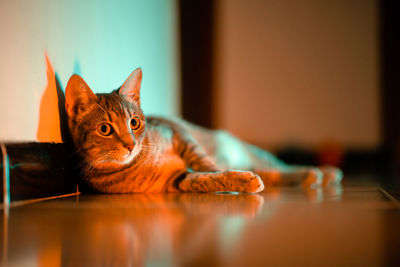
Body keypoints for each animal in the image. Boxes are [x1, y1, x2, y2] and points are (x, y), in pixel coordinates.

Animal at [64, 68, 342, 194]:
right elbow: (204, 180)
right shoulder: (178, 181)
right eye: (105, 129)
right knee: (273, 173)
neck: (141, 161)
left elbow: (206, 164)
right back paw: (310, 176)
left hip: (252, 153)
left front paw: (223, 172)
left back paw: (323, 172)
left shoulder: (180, 135)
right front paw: (235, 180)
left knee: (279, 166)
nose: (131, 145)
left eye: (134, 123)